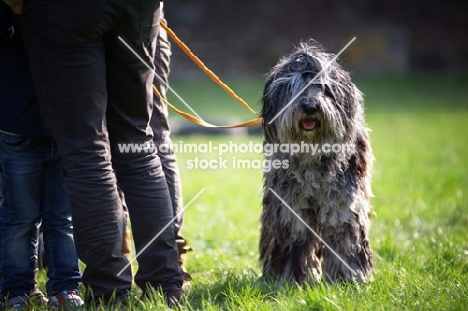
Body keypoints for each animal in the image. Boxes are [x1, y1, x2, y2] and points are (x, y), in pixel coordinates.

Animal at [260, 40, 372, 284]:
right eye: (295, 87)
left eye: (325, 89)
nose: (310, 106)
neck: (311, 153)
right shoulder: (290, 208)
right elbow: (295, 241)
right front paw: (291, 278)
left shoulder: (342, 205)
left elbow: (344, 240)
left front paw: (347, 278)